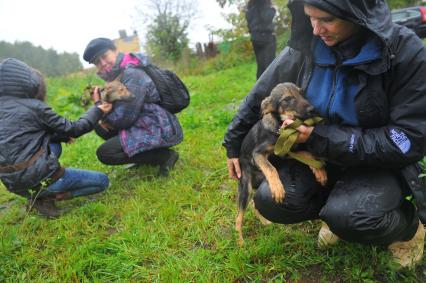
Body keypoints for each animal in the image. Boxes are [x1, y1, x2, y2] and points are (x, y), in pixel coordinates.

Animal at [236, 82, 326, 246]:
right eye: (287, 99)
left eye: (302, 93)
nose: (313, 109)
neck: (280, 127)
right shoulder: (258, 154)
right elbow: (271, 168)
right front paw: (278, 188)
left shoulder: (289, 151)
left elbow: (308, 154)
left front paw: (319, 170)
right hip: (245, 187)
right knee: (238, 217)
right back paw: (240, 243)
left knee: (254, 204)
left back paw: (265, 222)